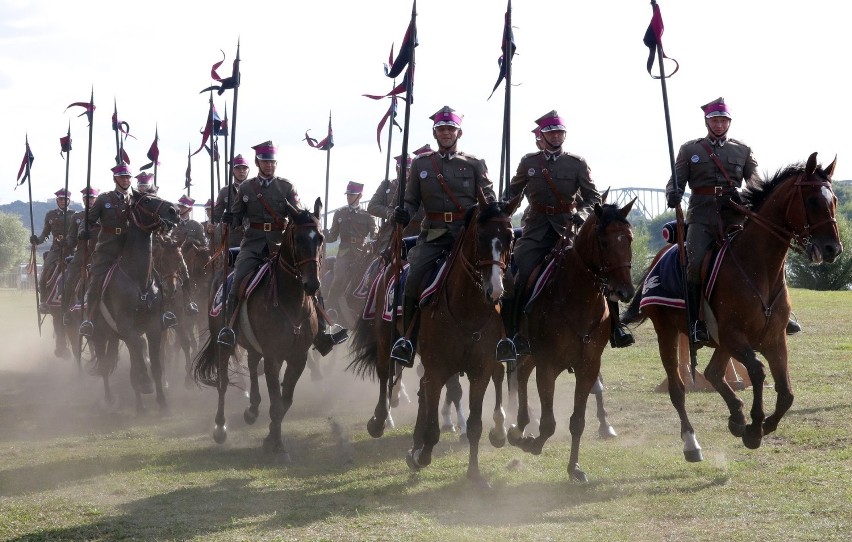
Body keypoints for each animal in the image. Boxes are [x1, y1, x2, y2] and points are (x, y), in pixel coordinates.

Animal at [88, 193, 180, 414]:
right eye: (146, 200)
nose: (174, 211)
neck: (138, 280)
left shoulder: (154, 326)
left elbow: (155, 363)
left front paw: (162, 401)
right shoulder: (126, 326)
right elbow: (138, 351)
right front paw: (146, 383)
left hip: (115, 336)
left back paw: (140, 405)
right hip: (99, 336)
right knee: (105, 367)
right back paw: (110, 400)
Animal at [194, 198, 326, 462]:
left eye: (320, 238)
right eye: (297, 239)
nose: (312, 285)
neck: (290, 301)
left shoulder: (298, 358)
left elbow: (284, 402)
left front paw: (271, 439)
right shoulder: (274, 357)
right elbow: (276, 403)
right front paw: (277, 445)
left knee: (253, 364)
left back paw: (252, 409)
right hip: (224, 343)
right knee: (223, 382)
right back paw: (220, 427)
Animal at [346, 193, 520, 490]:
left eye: (509, 237)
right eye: (481, 236)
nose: (495, 289)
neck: (468, 308)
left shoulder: (480, 370)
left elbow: (475, 423)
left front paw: (475, 474)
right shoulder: (438, 367)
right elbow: (434, 423)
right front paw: (423, 453)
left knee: (422, 392)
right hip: (385, 340)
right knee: (385, 374)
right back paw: (381, 421)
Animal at [502, 199, 636, 484]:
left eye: (629, 238)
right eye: (604, 242)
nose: (625, 291)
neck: (578, 299)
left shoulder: (588, 368)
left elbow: (577, 422)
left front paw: (574, 468)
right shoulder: (548, 366)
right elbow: (549, 423)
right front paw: (533, 443)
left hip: (531, 354)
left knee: (521, 374)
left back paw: (519, 426)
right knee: (518, 377)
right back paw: (517, 430)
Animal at [624, 154, 844, 464]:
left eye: (834, 199)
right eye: (812, 200)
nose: (832, 249)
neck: (758, 266)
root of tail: (660, 255)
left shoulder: (773, 339)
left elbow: (786, 393)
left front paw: (760, 425)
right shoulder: (735, 336)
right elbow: (758, 372)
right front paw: (755, 427)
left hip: (721, 343)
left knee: (713, 372)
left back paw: (736, 418)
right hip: (668, 331)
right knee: (678, 388)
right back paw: (692, 443)